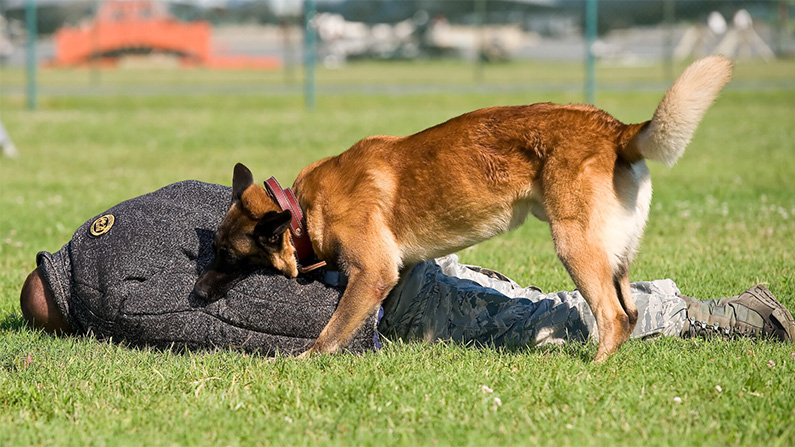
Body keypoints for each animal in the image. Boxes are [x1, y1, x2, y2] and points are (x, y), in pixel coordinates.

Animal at [194, 57, 732, 364]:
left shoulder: (371, 273)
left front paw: (304, 361)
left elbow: (331, 330)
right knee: (632, 309)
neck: (303, 210)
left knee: (615, 316)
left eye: (228, 257)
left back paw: (592, 370)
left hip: (574, 244)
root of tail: (616, 129)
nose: (195, 295)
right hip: (613, 251)